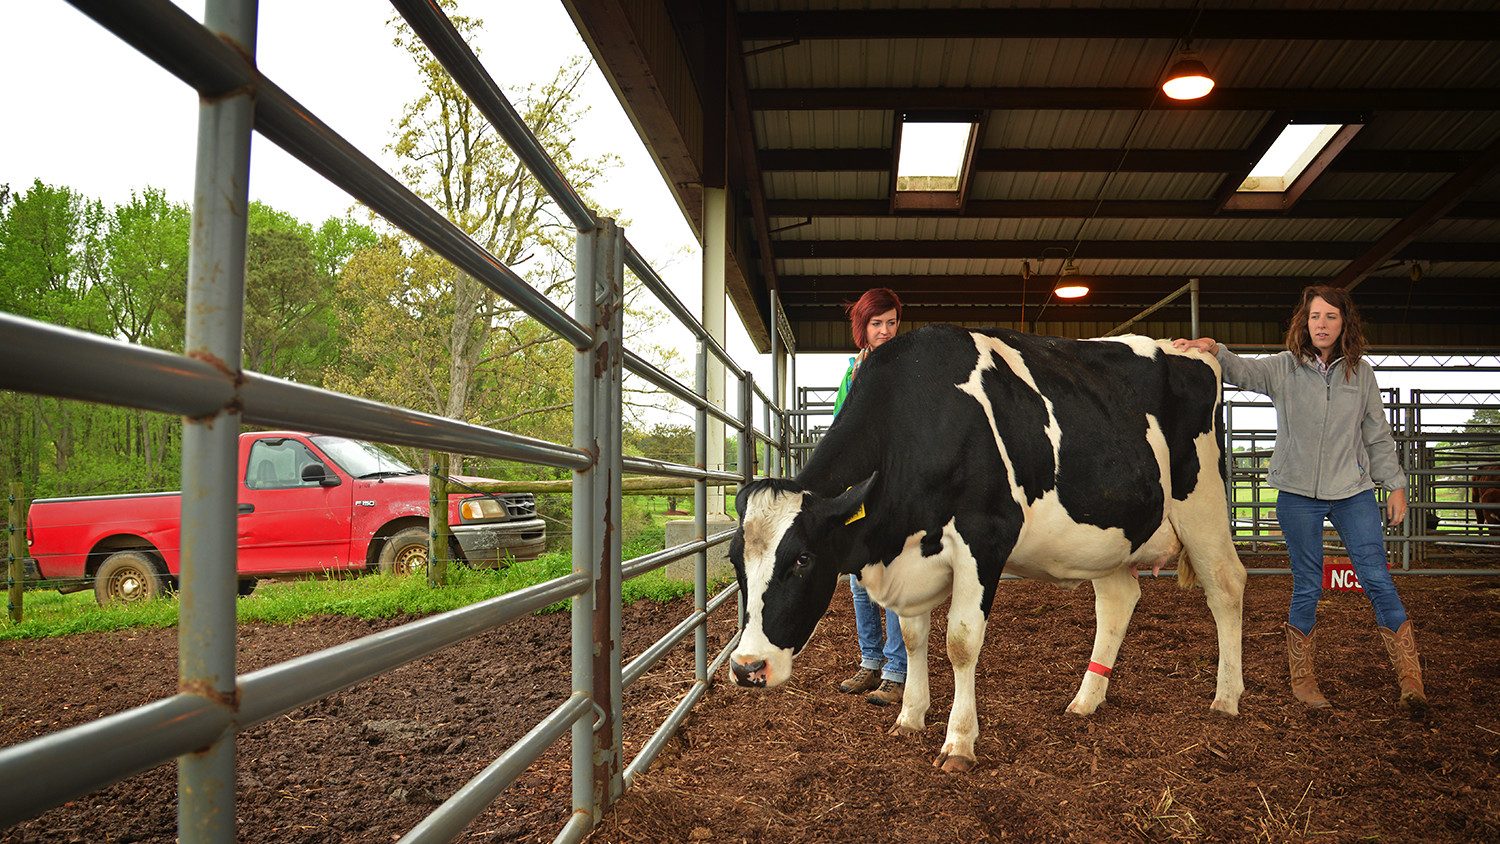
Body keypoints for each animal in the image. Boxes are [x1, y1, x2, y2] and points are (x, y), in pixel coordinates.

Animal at [726, 323, 1242, 773]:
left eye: (802, 559)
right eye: (734, 561)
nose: (747, 667)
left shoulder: (983, 538)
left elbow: (960, 641)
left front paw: (958, 742)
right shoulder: (912, 554)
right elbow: (913, 637)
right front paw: (909, 717)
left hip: (1204, 507)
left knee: (1227, 587)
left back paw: (1226, 697)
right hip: (1108, 534)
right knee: (1118, 601)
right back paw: (1086, 700)